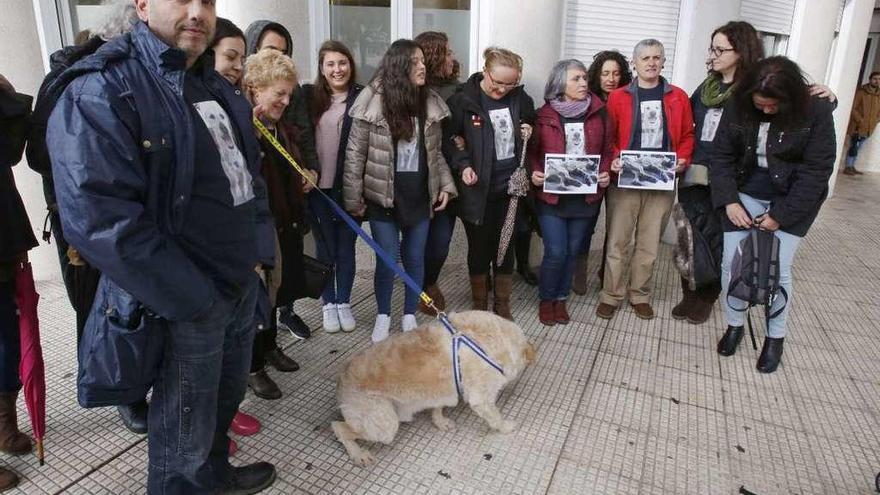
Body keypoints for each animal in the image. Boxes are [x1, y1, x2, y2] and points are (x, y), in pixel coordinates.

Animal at [332, 312, 532, 466]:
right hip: (383, 424)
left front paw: (439, 421)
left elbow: (438, 406)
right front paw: (506, 427)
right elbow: (496, 417)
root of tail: (341, 378)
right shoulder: (480, 399)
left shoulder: (444, 389)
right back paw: (358, 454)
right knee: (339, 428)